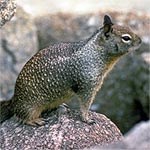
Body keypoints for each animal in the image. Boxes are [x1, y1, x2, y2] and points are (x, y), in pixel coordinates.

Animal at [0, 14, 141, 125]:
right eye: (126, 38)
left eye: (129, 28)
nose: (140, 41)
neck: (95, 53)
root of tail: (13, 101)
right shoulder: (88, 85)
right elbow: (85, 105)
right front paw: (87, 119)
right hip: (30, 107)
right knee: (22, 117)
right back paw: (35, 120)